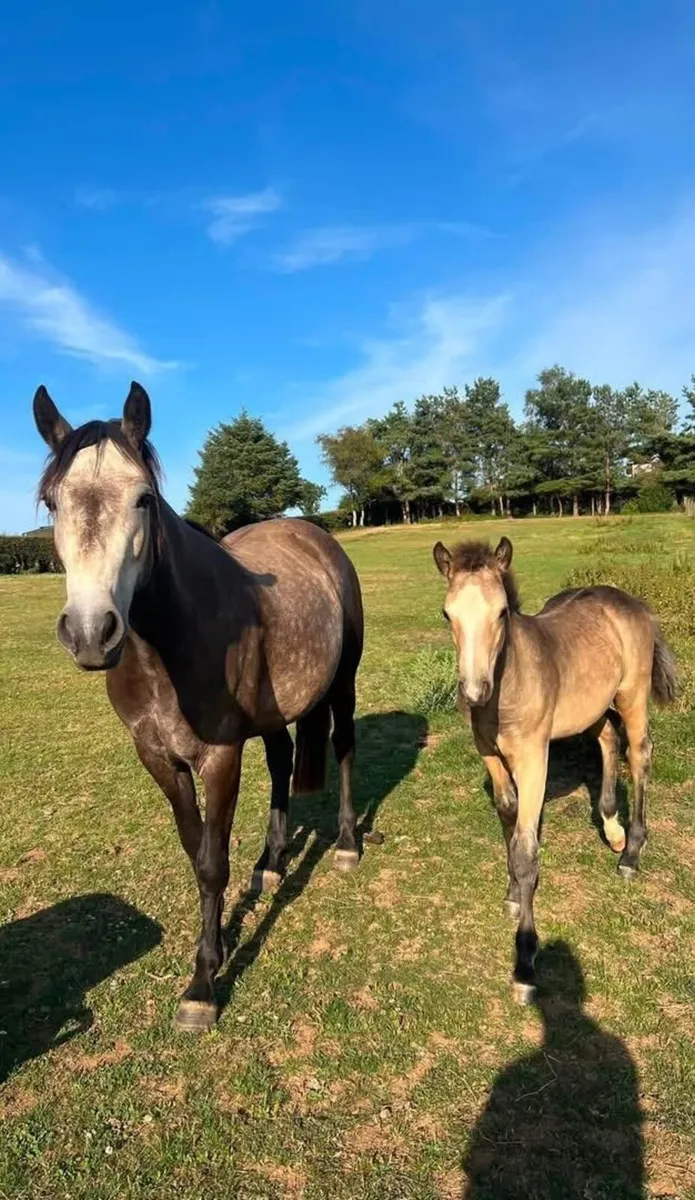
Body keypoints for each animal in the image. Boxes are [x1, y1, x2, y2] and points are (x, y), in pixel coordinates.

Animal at [33, 381, 364, 1032]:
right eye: (53, 503)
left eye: (143, 499)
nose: (90, 633)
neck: (167, 647)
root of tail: (316, 536)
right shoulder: (159, 757)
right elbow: (196, 853)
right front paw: (220, 941)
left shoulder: (219, 756)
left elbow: (213, 862)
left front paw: (204, 983)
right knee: (283, 760)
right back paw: (272, 862)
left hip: (342, 684)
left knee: (341, 748)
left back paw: (344, 845)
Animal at [433, 536, 677, 1002]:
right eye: (447, 613)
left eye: (502, 612)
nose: (473, 693)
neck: (508, 684)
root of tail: (629, 601)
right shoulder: (489, 754)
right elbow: (509, 818)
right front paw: (513, 894)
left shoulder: (533, 758)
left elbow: (527, 849)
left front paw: (525, 963)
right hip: (592, 705)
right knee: (608, 740)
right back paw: (612, 828)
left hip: (632, 695)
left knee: (639, 753)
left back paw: (631, 853)